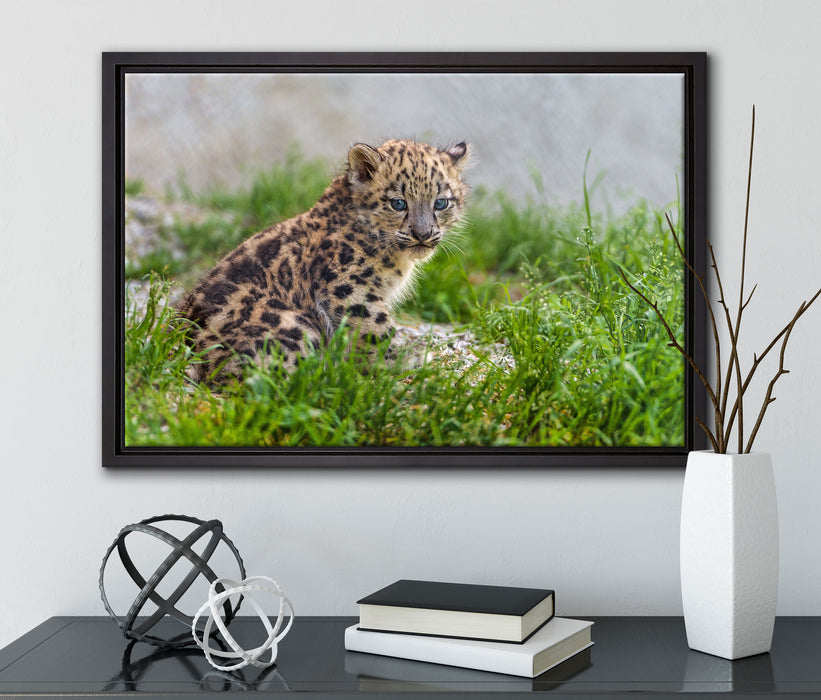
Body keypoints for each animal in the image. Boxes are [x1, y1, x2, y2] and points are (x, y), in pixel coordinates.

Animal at [177, 139, 472, 383]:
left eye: (441, 203)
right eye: (398, 203)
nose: (423, 234)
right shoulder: (350, 290)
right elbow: (377, 328)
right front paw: (407, 357)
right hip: (295, 325)